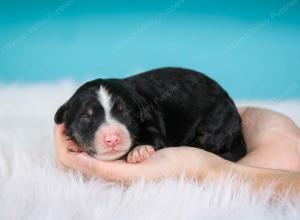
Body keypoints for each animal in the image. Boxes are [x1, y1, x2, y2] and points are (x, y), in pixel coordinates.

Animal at [54, 68, 246, 162]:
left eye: (125, 113)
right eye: (86, 117)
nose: (112, 139)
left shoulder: (151, 119)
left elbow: (153, 135)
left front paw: (140, 150)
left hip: (216, 122)